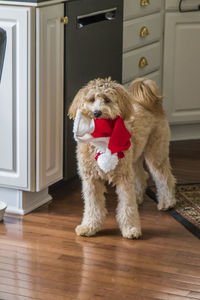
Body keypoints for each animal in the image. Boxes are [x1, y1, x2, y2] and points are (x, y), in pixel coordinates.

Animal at [68, 78, 176, 239]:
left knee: (164, 177)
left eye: (107, 99)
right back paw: (138, 196)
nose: (97, 112)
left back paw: (167, 202)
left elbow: (127, 206)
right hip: (134, 159)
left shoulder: (123, 179)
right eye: (91, 99)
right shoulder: (91, 179)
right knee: (141, 175)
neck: (102, 138)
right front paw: (89, 227)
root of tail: (150, 102)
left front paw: (131, 228)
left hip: (156, 153)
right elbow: (93, 206)